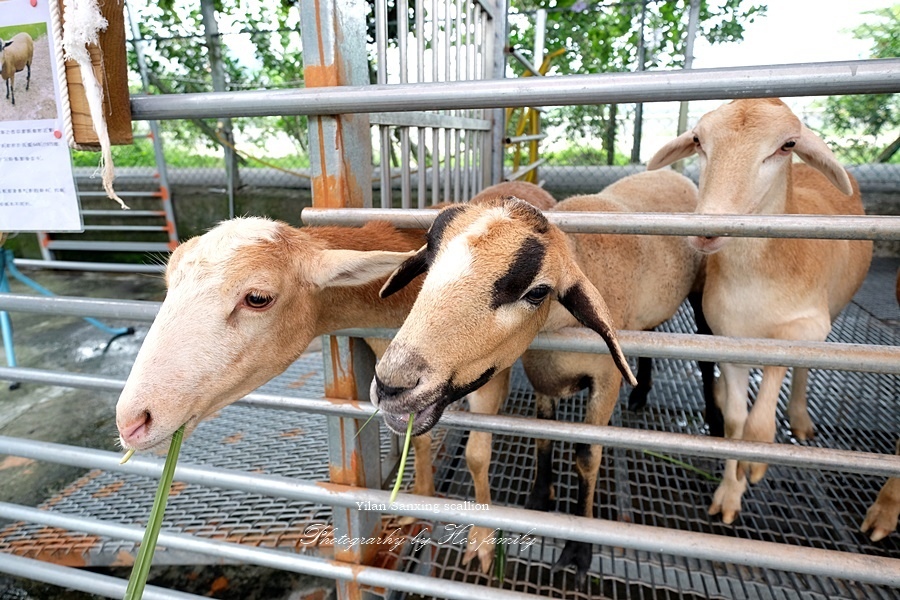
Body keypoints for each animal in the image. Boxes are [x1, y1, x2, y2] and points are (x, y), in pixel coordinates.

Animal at [113, 182, 556, 496]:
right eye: (168, 283)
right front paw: (421, 497)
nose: (132, 422)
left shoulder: (490, 370)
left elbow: (478, 454)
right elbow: (418, 442)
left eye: (257, 298)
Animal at [370, 169, 704, 580]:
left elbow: (587, 456)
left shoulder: (606, 384)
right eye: (429, 264)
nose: (391, 385)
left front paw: (578, 549)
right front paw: (539, 498)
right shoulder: (540, 376)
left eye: (537, 292)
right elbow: (543, 435)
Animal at [652, 96, 876, 524]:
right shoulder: (727, 339)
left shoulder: (803, 327)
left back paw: (800, 419)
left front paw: (755, 460)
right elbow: (736, 420)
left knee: (805, 369)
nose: (707, 230)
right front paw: (730, 490)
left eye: (788, 145)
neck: (754, 278)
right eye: (698, 140)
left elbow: (765, 400)